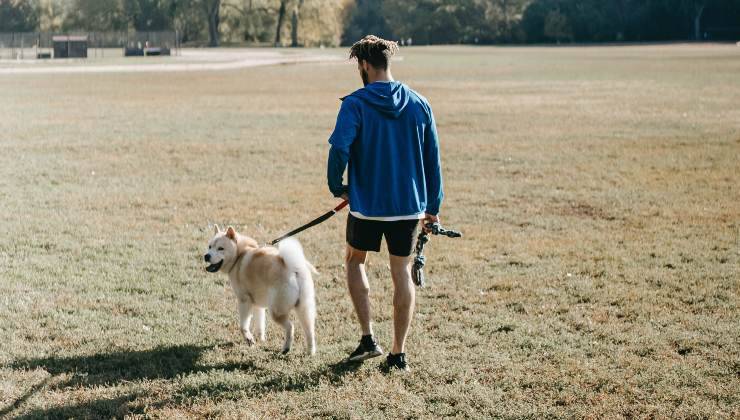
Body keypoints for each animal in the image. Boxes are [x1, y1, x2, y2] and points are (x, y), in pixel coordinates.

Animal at [204, 225, 316, 356]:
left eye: (220, 248)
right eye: (210, 246)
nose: (206, 256)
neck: (239, 256)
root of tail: (294, 269)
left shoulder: (244, 301)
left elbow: (243, 326)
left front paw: (249, 339)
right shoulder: (258, 304)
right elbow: (260, 324)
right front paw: (261, 339)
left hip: (276, 311)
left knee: (291, 327)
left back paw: (286, 348)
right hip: (304, 309)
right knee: (310, 331)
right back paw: (310, 352)